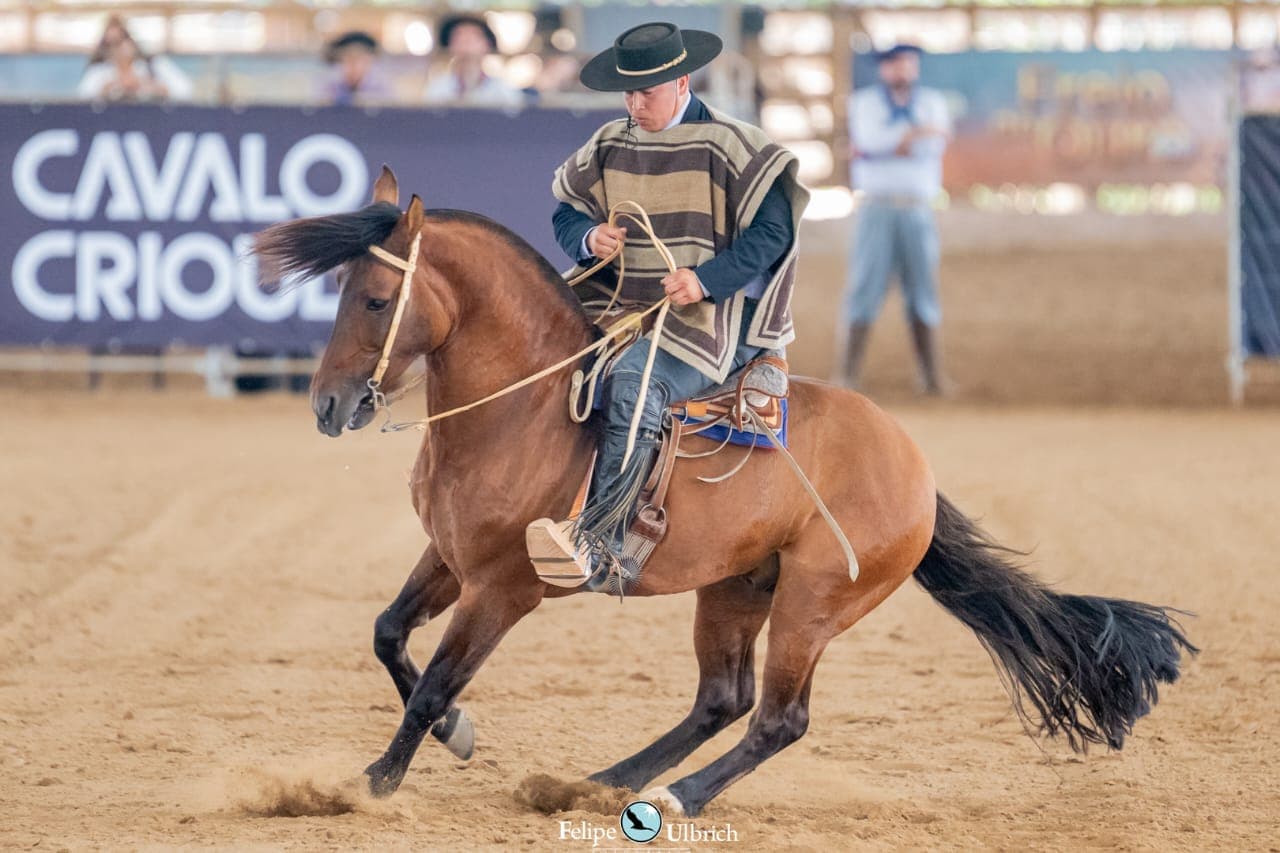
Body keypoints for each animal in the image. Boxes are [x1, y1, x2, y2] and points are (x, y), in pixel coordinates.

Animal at [251, 167, 1196, 818]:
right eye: (343, 293)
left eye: (377, 299)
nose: (327, 405)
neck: (525, 408)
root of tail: (914, 466)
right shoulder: (450, 558)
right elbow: (389, 637)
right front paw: (453, 736)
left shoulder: (506, 587)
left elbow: (436, 680)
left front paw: (372, 780)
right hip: (738, 587)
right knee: (722, 698)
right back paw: (597, 781)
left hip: (814, 602)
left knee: (777, 717)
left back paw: (674, 796)